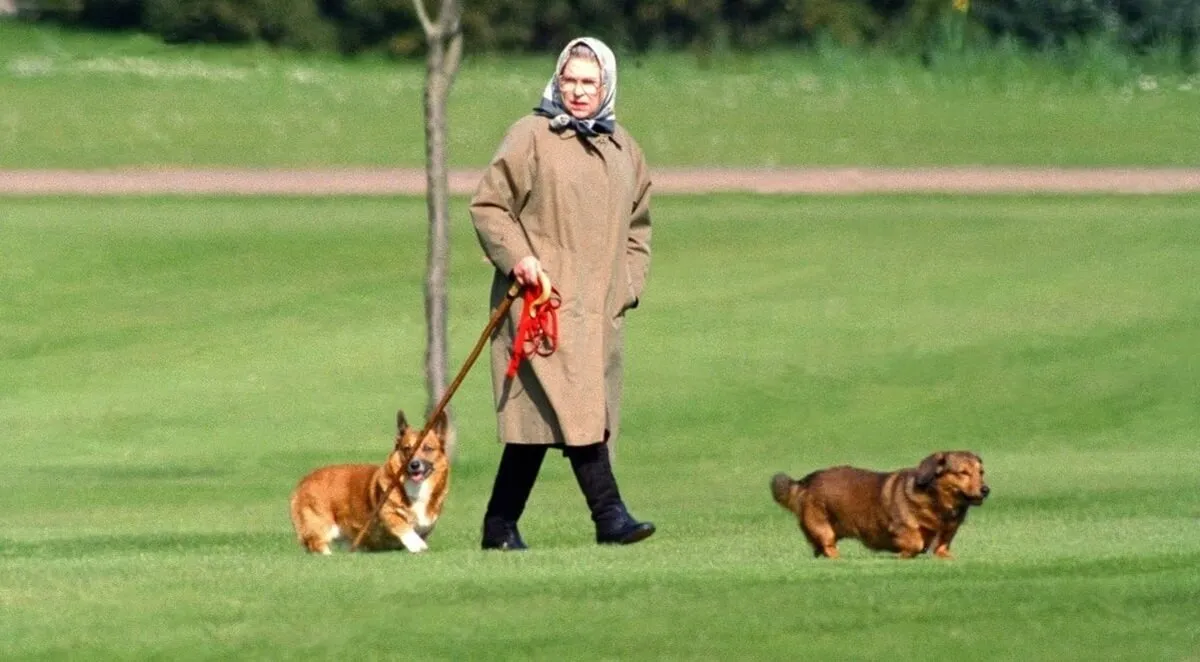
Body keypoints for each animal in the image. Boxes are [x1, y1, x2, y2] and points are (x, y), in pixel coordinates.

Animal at [289, 407, 451, 554]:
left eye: (428, 448)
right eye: (407, 449)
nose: (414, 465)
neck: (417, 488)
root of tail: (304, 481)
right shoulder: (387, 513)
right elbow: (402, 525)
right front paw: (417, 545)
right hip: (322, 526)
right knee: (317, 544)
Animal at [772, 450, 988, 558]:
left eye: (981, 472)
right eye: (963, 473)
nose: (986, 490)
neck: (938, 503)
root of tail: (806, 481)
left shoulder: (945, 537)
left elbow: (942, 550)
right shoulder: (901, 527)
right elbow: (915, 542)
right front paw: (905, 554)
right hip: (823, 529)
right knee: (828, 547)